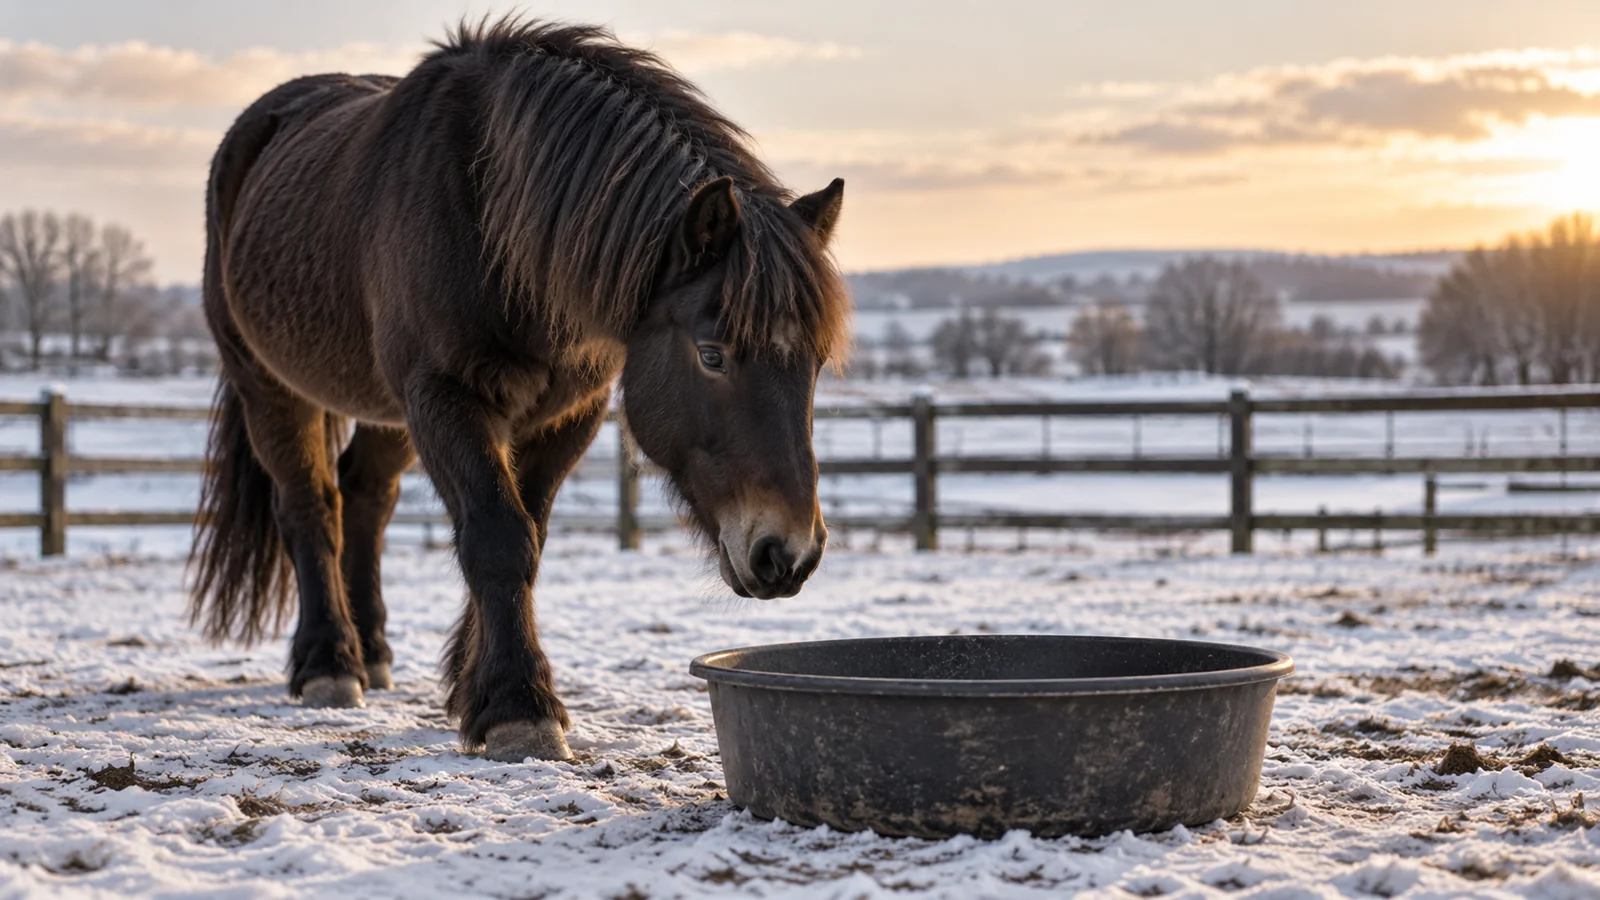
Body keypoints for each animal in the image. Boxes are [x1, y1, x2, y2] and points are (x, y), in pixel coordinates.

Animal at [188, 18, 850, 763]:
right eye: (712, 355)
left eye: (816, 363)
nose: (789, 554)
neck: (492, 219)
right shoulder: (445, 396)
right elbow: (499, 538)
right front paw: (518, 708)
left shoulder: (568, 415)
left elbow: (526, 532)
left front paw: (470, 687)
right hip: (268, 385)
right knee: (311, 507)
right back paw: (328, 664)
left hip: (386, 412)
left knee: (365, 498)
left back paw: (373, 651)